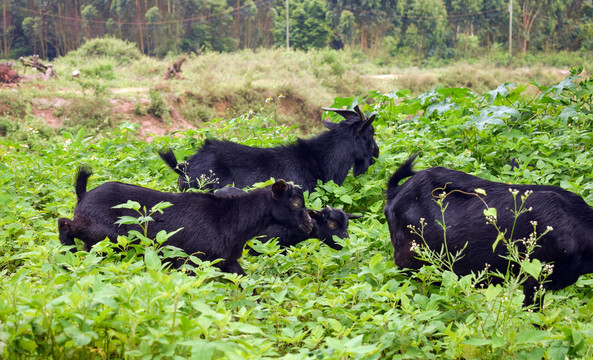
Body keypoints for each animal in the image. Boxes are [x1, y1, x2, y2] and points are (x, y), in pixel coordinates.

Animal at [57, 167, 312, 274]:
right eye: (295, 203)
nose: (309, 224)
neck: (233, 218)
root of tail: (83, 195)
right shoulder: (190, 260)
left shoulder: (224, 260)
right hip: (106, 234)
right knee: (64, 222)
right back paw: (66, 257)